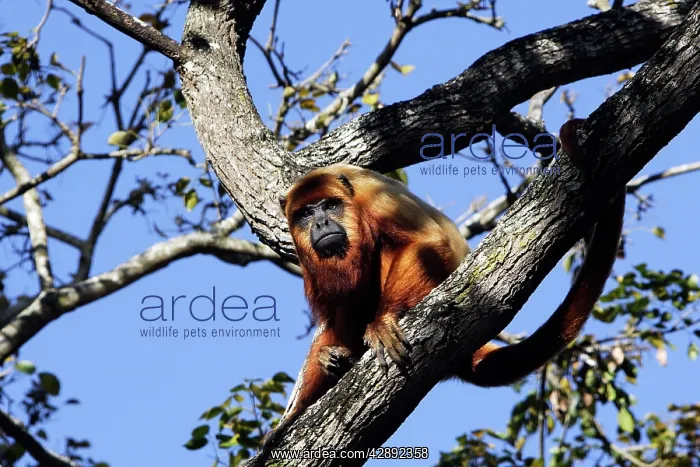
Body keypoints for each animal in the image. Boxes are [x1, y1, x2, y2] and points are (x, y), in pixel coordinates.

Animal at [268, 118, 625, 442]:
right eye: (306, 214)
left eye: (330, 205)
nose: (321, 223)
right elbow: (332, 314)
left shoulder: (376, 197)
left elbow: (424, 241)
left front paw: (383, 322)